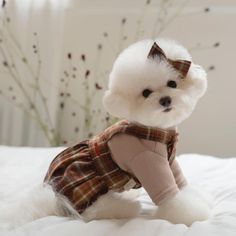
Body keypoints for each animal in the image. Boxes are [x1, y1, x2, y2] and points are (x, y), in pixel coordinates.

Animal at [0, 38, 210, 229]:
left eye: (172, 83)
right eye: (146, 93)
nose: (165, 100)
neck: (156, 131)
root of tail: (52, 195)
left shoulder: (170, 161)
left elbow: (181, 183)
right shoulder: (149, 163)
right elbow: (171, 197)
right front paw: (190, 214)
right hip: (88, 192)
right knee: (93, 212)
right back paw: (127, 207)